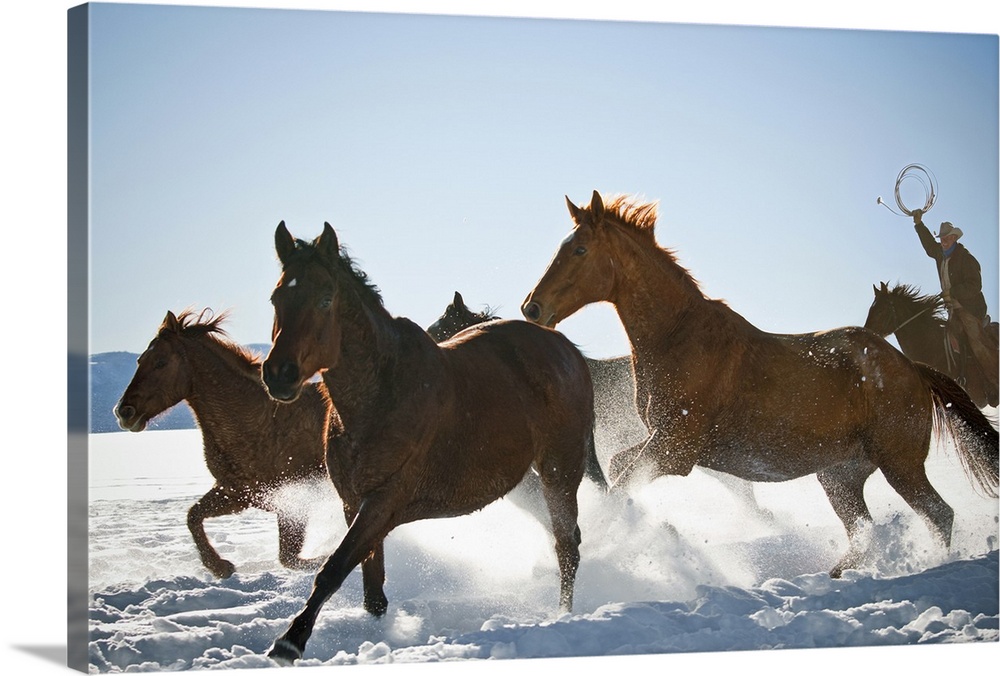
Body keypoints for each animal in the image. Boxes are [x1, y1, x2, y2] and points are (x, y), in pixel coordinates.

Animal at [115, 308, 328, 580]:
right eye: (140, 360)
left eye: (161, 362)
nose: (124, 412)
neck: (260, 421)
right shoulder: (236, 493)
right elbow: (193, 516)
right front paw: (220, 566)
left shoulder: (294, 494)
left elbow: (291, 557)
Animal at [258, 223, 600, 664]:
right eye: (277, 298)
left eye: (325, 298)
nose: (278, 374)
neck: (382, 392)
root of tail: (569, 350)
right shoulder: (354, 501)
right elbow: (372, 590)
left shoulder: (384, 500)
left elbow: (334, 568)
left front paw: (290, 641)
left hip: (560, 468)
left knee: (567, 544)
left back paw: (562, 616)